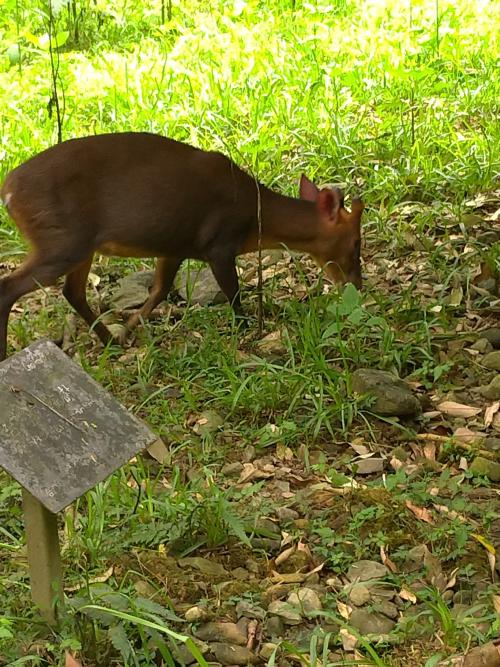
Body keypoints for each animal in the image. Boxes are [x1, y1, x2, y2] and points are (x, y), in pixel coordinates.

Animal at [0, 131, 362, 360]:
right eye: (356, 243)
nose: (357, 285)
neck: (257, 218)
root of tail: (9, 191)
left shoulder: (174, 245)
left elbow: (160, 290)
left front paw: (128, 331)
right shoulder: (219, 243)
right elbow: (233, 295)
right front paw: (248, 332)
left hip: (78, 244)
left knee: (72, 291)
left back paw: (109, 341)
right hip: (61, 239)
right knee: (10, 286)